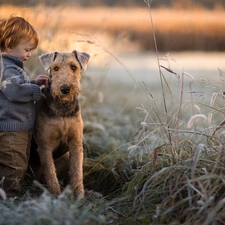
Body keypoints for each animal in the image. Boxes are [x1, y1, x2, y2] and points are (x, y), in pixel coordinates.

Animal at [30, 49, 90, 197]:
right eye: (55, 68)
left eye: (73, 67)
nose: (65, 88)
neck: (63, 107)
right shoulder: (45, 145)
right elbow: (50, 173)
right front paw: (55, 195)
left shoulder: (76, 143)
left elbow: (77, 171)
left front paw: (79, 195)